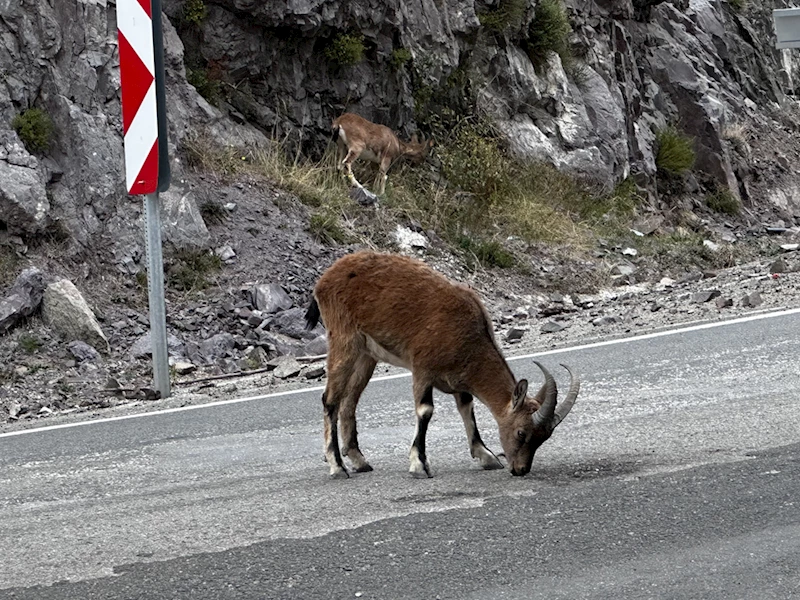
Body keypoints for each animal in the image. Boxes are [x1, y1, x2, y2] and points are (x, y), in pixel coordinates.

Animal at [304, 248, 580, 478]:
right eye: (521, 432)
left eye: (544, 437)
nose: (520, 469)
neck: (465, 335)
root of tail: (324, 280)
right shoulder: (422, 369)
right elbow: (425, 411)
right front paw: (419, 464)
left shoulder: (458, 379)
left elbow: (467, 407)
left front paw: (486, 455)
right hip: (344, 339)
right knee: (330, 399)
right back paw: (337, 466)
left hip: (367, 354)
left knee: (349, 401)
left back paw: (359, 461)